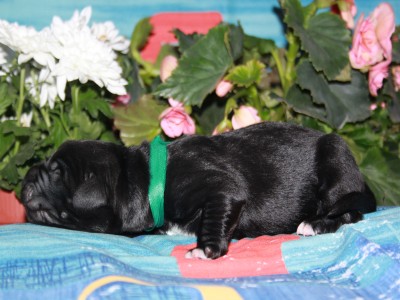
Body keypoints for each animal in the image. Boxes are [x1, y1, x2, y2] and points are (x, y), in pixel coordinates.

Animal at [20, 122, 376, 258]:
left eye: (57, 172)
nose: (27, 173)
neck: (145, 175)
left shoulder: (221, 188)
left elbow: (216, 211)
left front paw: (205, 249)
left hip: (336, 159)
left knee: (350, 212)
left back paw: (314, 224)